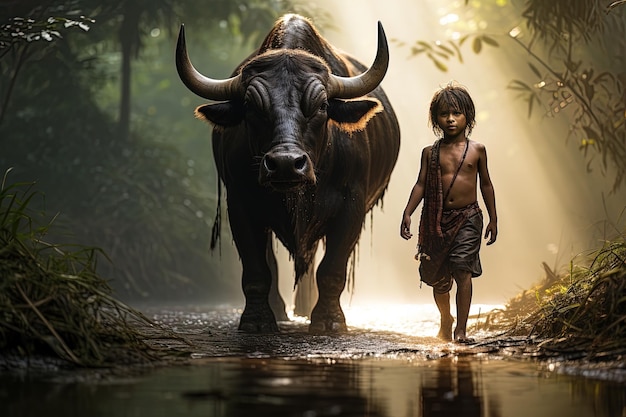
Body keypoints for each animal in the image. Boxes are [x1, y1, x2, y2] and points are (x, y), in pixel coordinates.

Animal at [174, 13, 400, 332]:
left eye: (322, 105)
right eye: (250, 106)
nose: (285, 163)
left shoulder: (351, 208)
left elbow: (331, 269)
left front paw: (329, 321)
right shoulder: (240, 204)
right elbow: (257, 269)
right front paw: (257, 320)